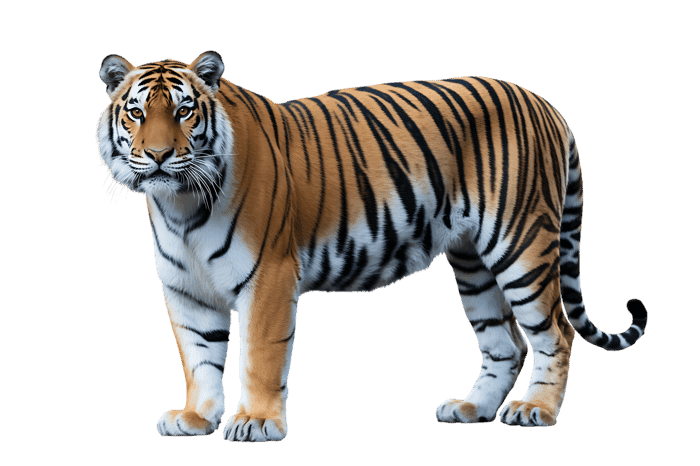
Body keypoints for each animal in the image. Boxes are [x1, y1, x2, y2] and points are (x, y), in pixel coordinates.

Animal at [95, 51, 648, 442]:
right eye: (137, 113)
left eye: (185, 111)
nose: (159, 155)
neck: (181, 206)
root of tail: (543, 102)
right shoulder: (185, 289)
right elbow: (199, 356)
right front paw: (196, 417)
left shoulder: (268, 274)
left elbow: (259, 355)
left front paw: (255, 421)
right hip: (473, 261)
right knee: (505, 342)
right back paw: (471, 409)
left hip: (521, 245)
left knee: (555, 333)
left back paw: (536, 410)